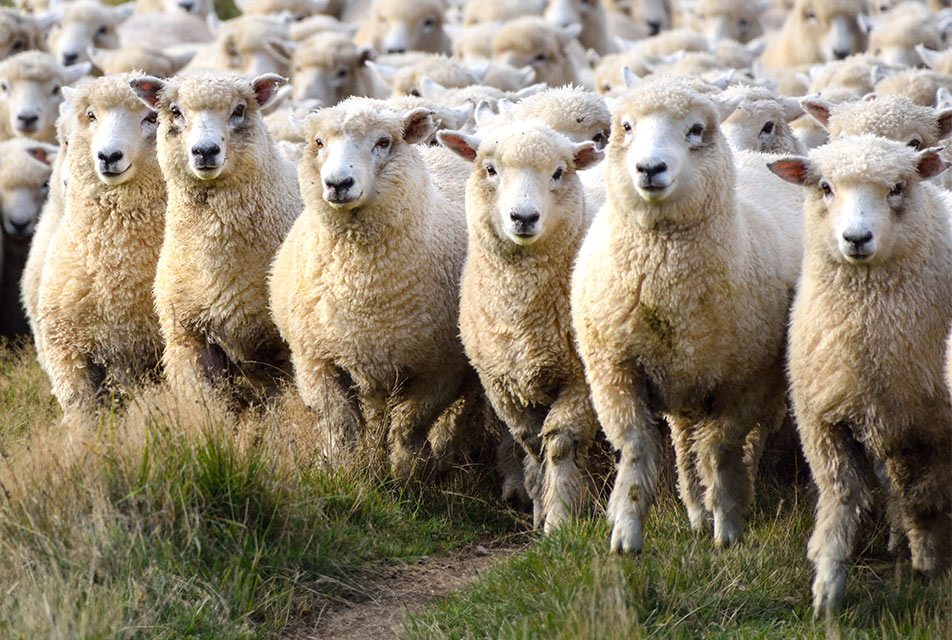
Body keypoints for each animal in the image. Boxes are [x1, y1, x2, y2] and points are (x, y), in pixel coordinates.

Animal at [269, 97, 479, 479]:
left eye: (383, 142)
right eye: (319, 142)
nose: (338, 183)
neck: (362, 289)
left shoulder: (441, 369)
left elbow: (410, 423)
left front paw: (409, 472)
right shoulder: (315, 361)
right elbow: (340, 425)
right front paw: (339, 470)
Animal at [438, 120, 603, 530]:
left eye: (558, 172)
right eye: (490, 169)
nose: (523, 218)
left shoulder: (582, 380)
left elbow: (559, 442)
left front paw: (560, 520)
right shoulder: (502, 383)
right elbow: (532, 442)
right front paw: (539, 508)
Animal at [570, 78, 804, 552]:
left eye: (695, 129)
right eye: (626, 126)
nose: (649, 168)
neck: (666, 284)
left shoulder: (742, 383)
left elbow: (719, 451)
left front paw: (727, 529)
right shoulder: (615, 373)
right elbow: (638, 448)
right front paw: (626, 534)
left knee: (733, 445)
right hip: (682, 378)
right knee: (682, 444)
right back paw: (695, 510)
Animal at [768, 135, 952, 616]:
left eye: (898, 187)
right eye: (825, 187)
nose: (856, 238)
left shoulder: (935, 429)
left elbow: (925, 499)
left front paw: (929, 563)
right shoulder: (823, 421)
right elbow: (841, 496)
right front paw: (827, 587)